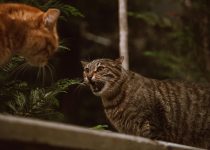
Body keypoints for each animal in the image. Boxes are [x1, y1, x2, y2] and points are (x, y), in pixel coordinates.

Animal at [81, 56, 210, 148]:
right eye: (86, 70)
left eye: (100, 69)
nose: (88, 76)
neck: (112, 101)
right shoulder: (128, 133)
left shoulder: (152, 127)